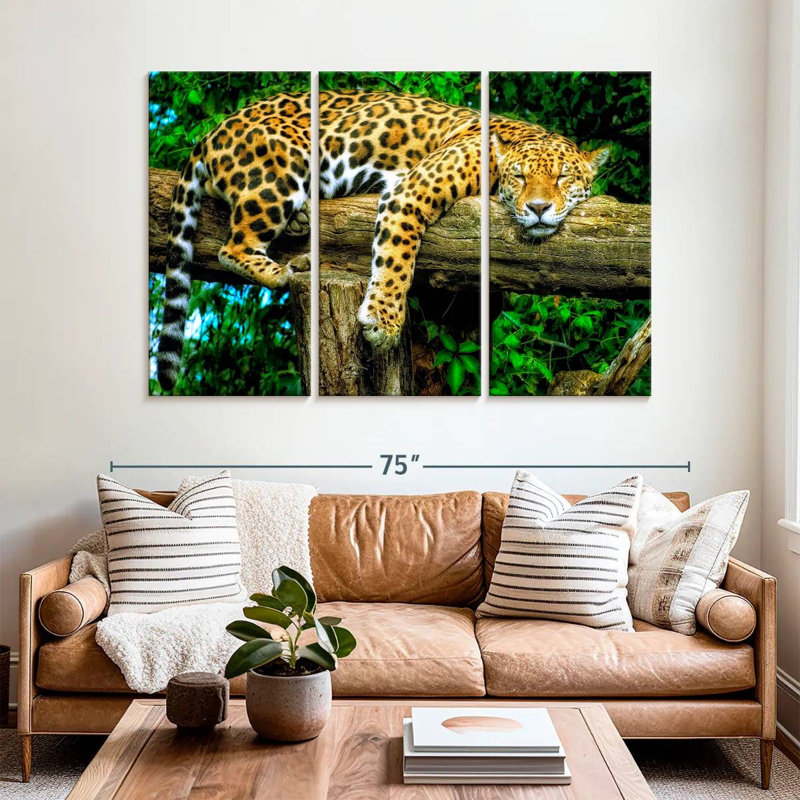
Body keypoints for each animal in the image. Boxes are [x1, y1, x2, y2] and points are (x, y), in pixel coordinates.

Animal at [156, 90, 609, 391]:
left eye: (562, 177)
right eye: (520, 177)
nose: (538, 207)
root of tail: (211, 133)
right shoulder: (411, 191)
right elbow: (396, 260)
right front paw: (383, 321)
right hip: (279, 172)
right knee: (231, 247)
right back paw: (281, 271)